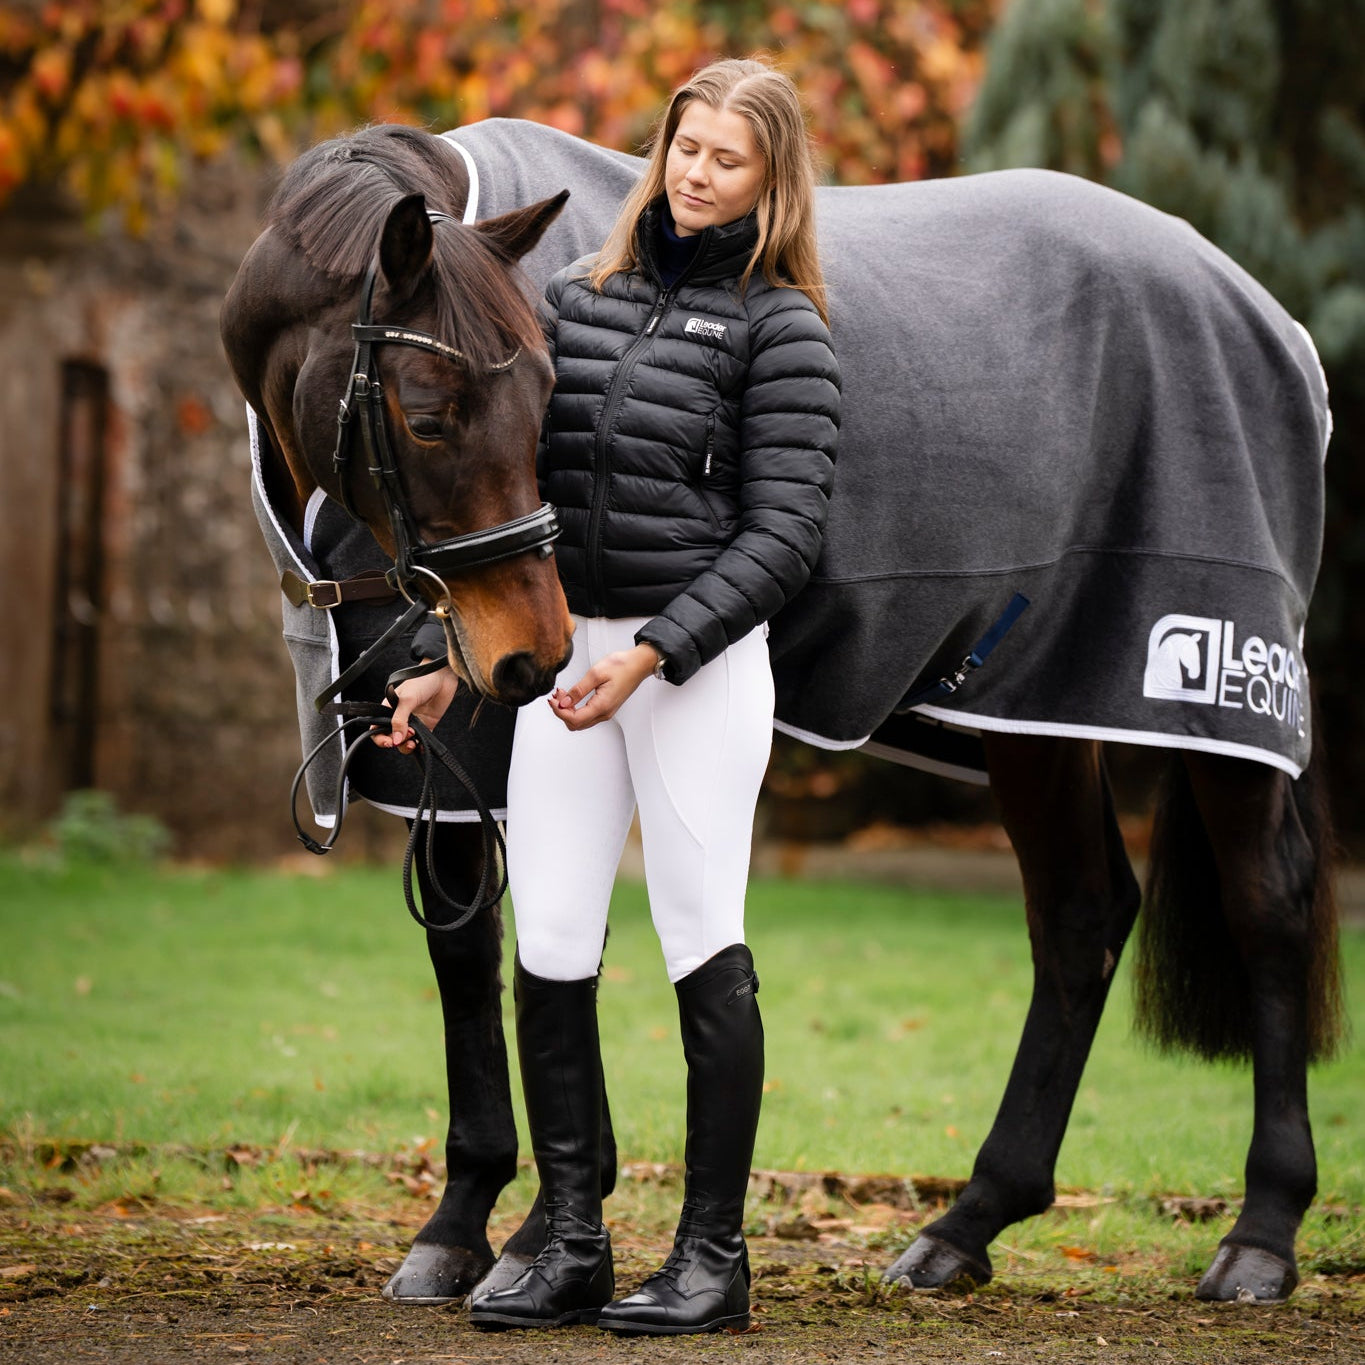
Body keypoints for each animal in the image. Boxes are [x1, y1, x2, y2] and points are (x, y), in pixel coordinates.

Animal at [221, 119, 1343, 1310]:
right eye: (431, 416)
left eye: (545, 397)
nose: (534, 653)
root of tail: (1273, 325)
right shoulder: (433, 752)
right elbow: (469, 958)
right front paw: (462, 1225)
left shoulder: (488, 745)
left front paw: (521, 1235)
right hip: (1034, 715)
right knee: (1080, 918)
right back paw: (968, 1224)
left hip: (1207, 700)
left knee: (1265, 905)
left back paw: (1260, 1235)